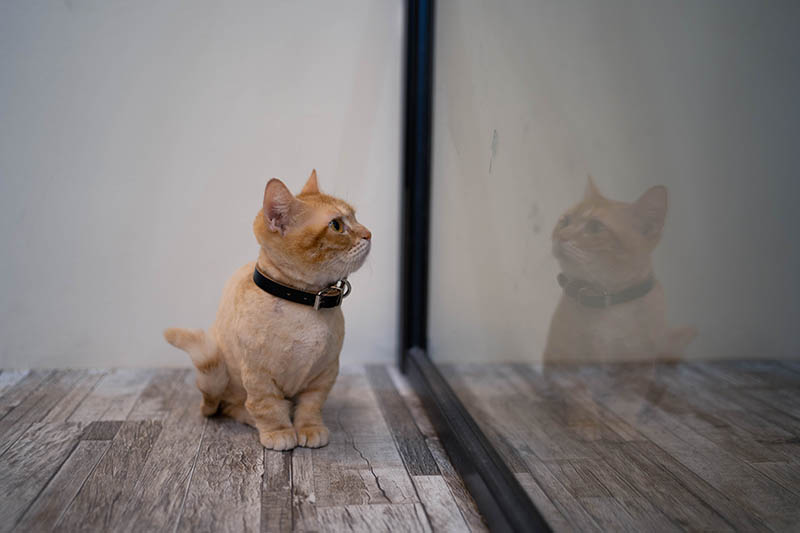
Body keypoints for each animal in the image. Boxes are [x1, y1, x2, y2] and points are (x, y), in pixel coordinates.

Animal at [165, 171, 376, 448]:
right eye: (337, 226)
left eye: (356, 217)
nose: (369, 233)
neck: (304, 304)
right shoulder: (258, 376)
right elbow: (266, 407)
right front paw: (279, 431)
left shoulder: (324, 374)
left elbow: (311, 406)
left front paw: (309, 427)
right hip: (226, 381)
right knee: (229, 406)